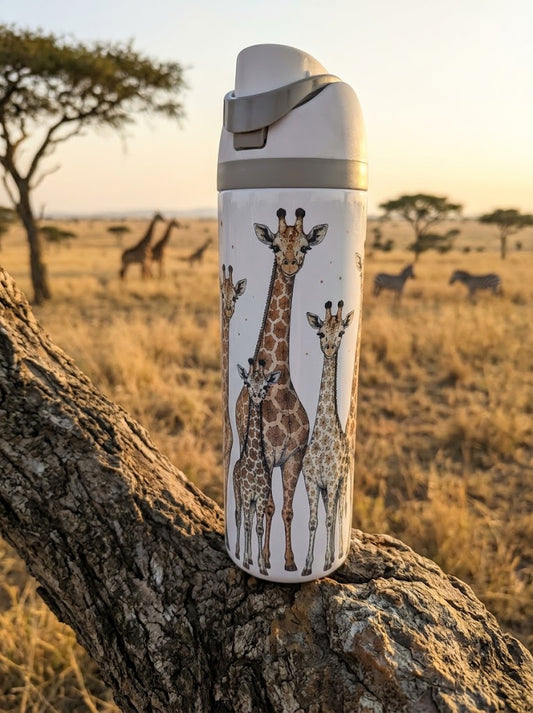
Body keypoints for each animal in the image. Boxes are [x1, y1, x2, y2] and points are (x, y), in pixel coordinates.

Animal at [235, 207, 328, 571]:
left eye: (305, 246)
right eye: (275, 246)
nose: (289, 264)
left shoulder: (293, 457)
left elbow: (287, 510)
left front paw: (289, 561)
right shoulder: (269, 456)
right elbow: (270, 508)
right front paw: (266, 559)